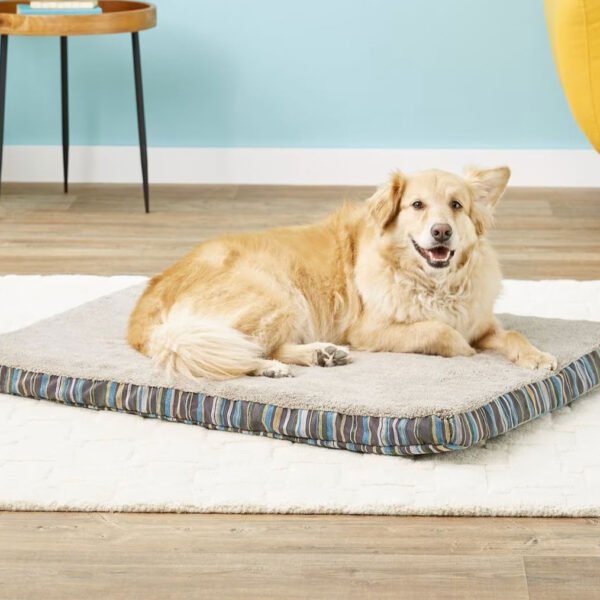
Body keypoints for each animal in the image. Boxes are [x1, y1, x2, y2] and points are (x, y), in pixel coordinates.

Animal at [127, 165, 556, 380]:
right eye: (417, 205)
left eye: (456, 206)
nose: (441, 232)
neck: (433, 282)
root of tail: (145, 306)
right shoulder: (368, 331)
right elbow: (439, 331)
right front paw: (463, 348)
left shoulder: (482, 321)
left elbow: (512, 334)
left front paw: (538, 357)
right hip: (276, 295)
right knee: (239, 350)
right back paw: (271, 367)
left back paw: (320, 355)